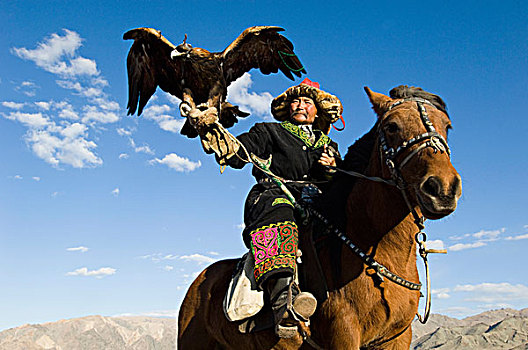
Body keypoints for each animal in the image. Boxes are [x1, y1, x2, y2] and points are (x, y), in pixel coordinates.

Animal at [177, 85, 462, 350]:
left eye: (447, 127)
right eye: (392, 126)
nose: (442, 188)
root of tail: (201, 280)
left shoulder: (398, 337)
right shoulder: (343, 335)